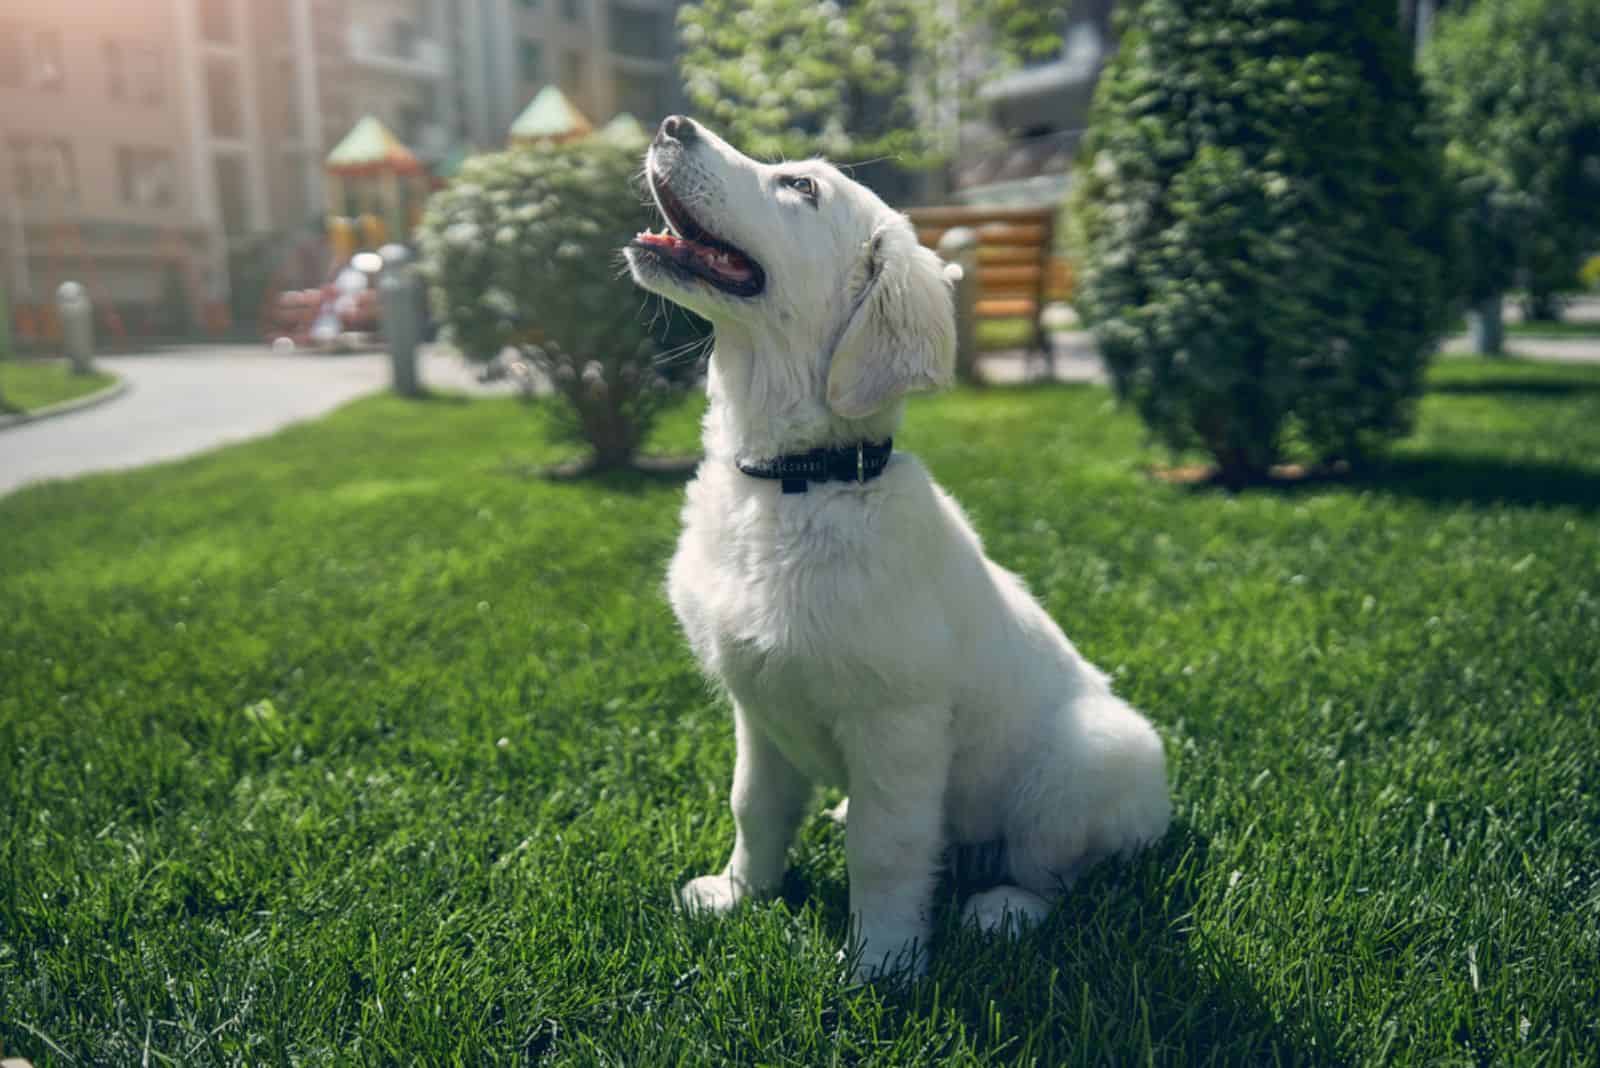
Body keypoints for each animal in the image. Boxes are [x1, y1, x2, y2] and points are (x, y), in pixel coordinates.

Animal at [627, 115, 1177, 978]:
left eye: (801, 186)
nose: (672, 123)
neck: (797, 481)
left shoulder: (897, 721)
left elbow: (884, 849)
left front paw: (882, 964)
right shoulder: (758, 708)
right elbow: (753, 806)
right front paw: (738, 893)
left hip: (1083, 763)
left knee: (1054, 871)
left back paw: (1002, 911)